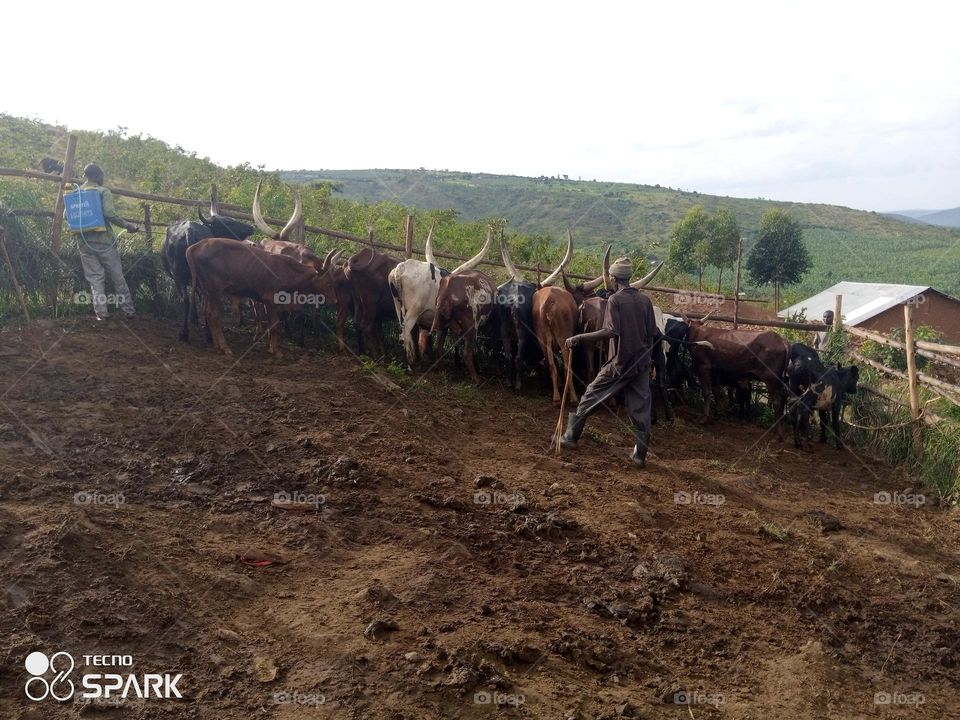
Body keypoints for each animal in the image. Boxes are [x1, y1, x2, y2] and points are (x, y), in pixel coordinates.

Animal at [161, 202, 256, 341]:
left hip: (179, 276)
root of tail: (189, 230)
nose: (251, 227)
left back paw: (187, 333)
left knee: (188, 299)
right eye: (227, 222)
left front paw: (194, 320)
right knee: (200, 300)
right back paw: (206, 335)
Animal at [186, 237, 335, 358]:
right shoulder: (270, 300)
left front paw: (270, 347)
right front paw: (276, 351)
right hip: (216, 290)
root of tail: (196, 246)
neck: (288, 271)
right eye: (328, 283)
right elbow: (274, 325)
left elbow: (270, 324)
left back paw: (217, 345)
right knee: (214, 314)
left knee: (207, 312)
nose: (334, 300)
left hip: (207, 290)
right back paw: (225, 347)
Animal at [388, 224, 449, 370]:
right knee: (406, 329)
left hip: (398, 305)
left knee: (403, 329)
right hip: (414, 310)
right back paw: (410, 362)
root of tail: (401, 268)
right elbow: (439, 340)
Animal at [430, 227, 496, 384]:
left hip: (441, 324)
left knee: (438, 347)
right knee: (467, 353)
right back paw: (477, 380)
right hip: (471, 327)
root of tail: (448, 289)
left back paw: (442, 370)